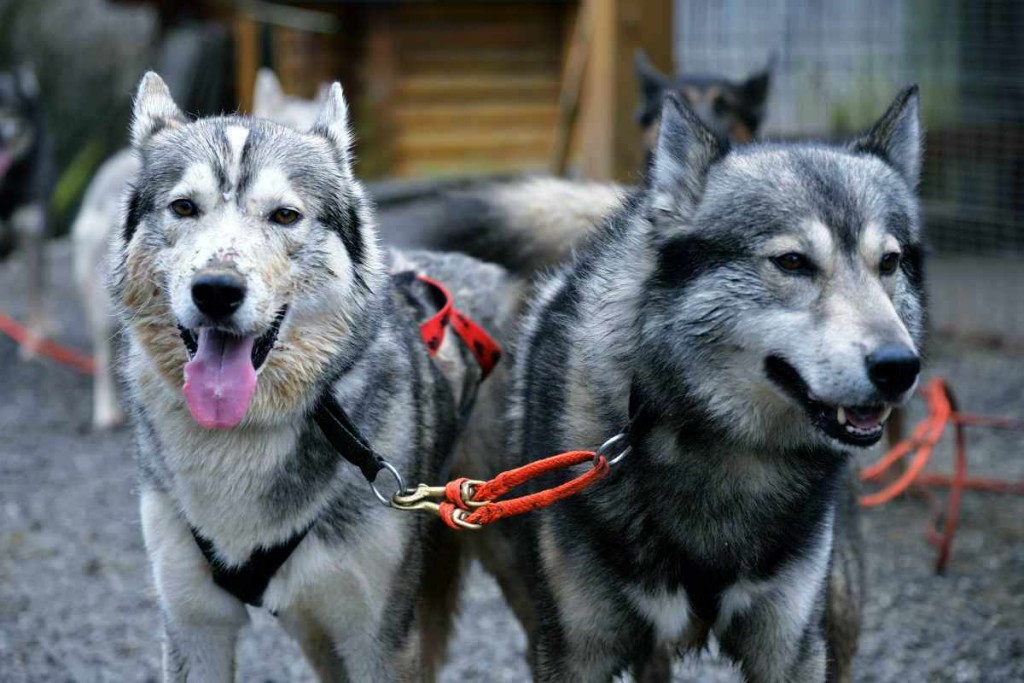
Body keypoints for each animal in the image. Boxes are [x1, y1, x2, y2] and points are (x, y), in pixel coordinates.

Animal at [460, 88, 925, 679]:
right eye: (792, 262)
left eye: (888, 263)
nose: (899, 367)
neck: (725, 453)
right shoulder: (574, 650)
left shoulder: (789, 644)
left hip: (838, 612)